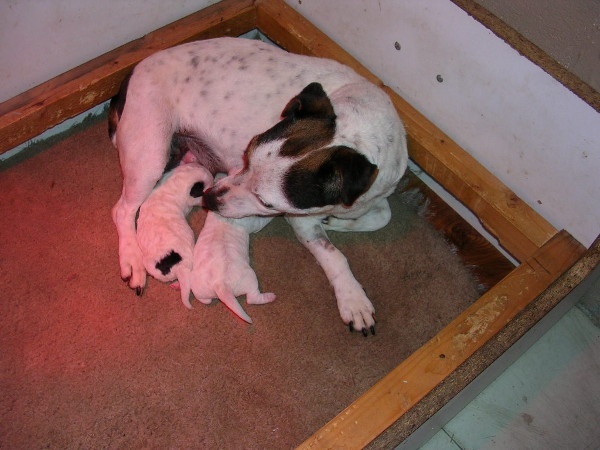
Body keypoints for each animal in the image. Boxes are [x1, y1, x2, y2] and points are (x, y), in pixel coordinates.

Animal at [108, 37, 408, 334]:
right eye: (247, 154)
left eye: (266, 201)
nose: (209, 200)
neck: (359, 131)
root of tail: (132, 72)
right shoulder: (300, 218)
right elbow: (334, 255)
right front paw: (353, 299)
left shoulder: (374, 193)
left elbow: (382, 216)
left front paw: (336, 222)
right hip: (149, 154)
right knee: (123, 210)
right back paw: (132, 258)